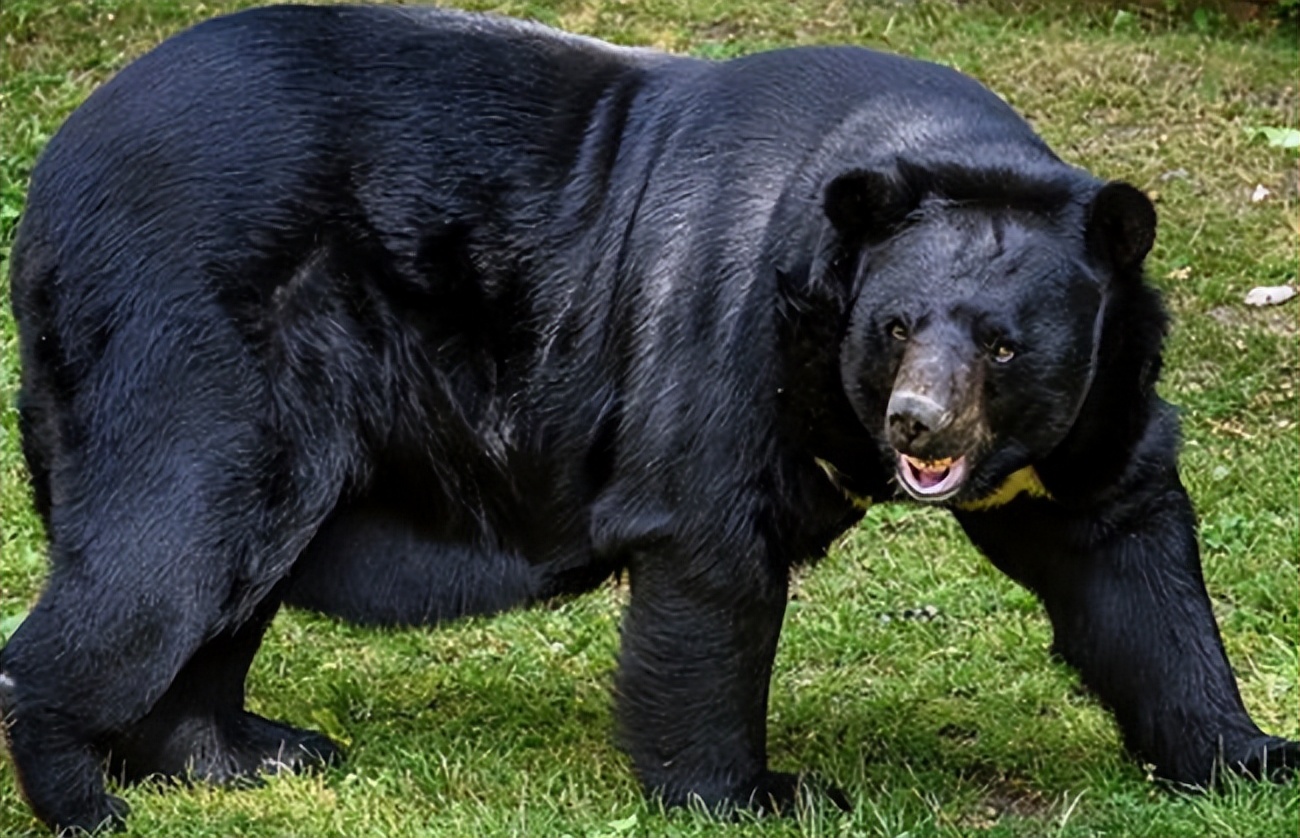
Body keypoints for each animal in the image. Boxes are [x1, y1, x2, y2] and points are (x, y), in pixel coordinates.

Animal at [2, 3, 1296, 833]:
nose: (918, 426)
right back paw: (88, 797)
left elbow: (1123, 551)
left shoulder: (1090, 406)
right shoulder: (726, 326)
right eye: (893, 326)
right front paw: (758, 793)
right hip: (193, 340)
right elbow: (710, 554)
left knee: (224, 579)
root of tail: (59, 168)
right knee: (169, 543)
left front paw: (1251, 756)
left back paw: (245, 752)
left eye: (1002, 342)